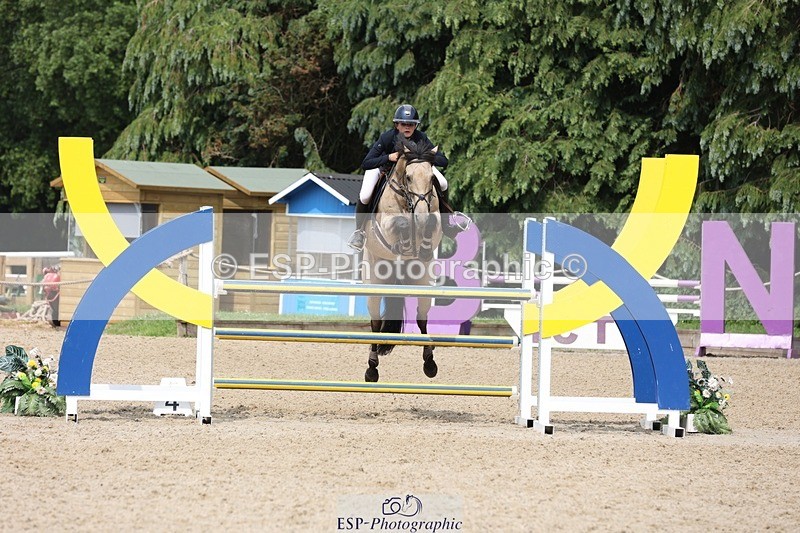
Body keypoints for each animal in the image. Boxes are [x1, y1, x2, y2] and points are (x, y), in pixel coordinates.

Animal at [361, 138, 443, 382]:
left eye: (432, 178)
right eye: (408, 177)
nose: (421, 214)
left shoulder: (435, 220)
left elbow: (431, 224)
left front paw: (422, 246)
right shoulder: (385, 224)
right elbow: (400, 223)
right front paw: (404, 243)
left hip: (422, 282)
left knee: (422, 319)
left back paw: (430, 363)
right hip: (374, 281)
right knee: (375, 322)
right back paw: (371, 368)